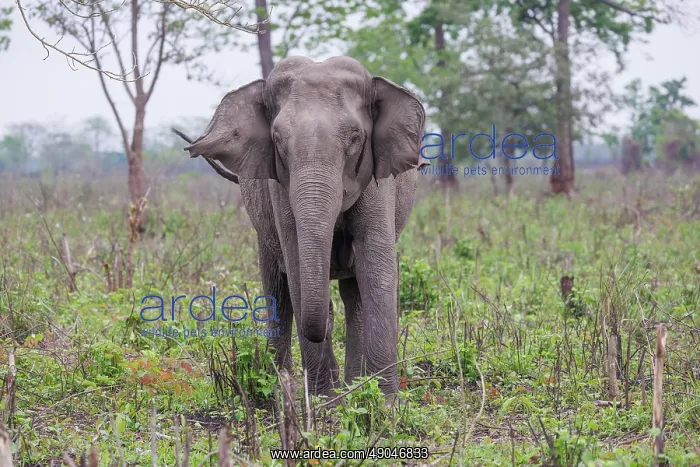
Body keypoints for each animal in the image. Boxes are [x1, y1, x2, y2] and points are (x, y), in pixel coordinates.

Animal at [174, 56, 429, 398]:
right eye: (277, 140)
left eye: (355, 138)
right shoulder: (279, 189)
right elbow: (295, 264)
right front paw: (324, 401)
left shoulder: (378, 181)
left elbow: (378, 268)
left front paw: (383, 402)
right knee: (278, 290)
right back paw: (280, 390)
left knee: (353, 294)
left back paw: (351, 385)